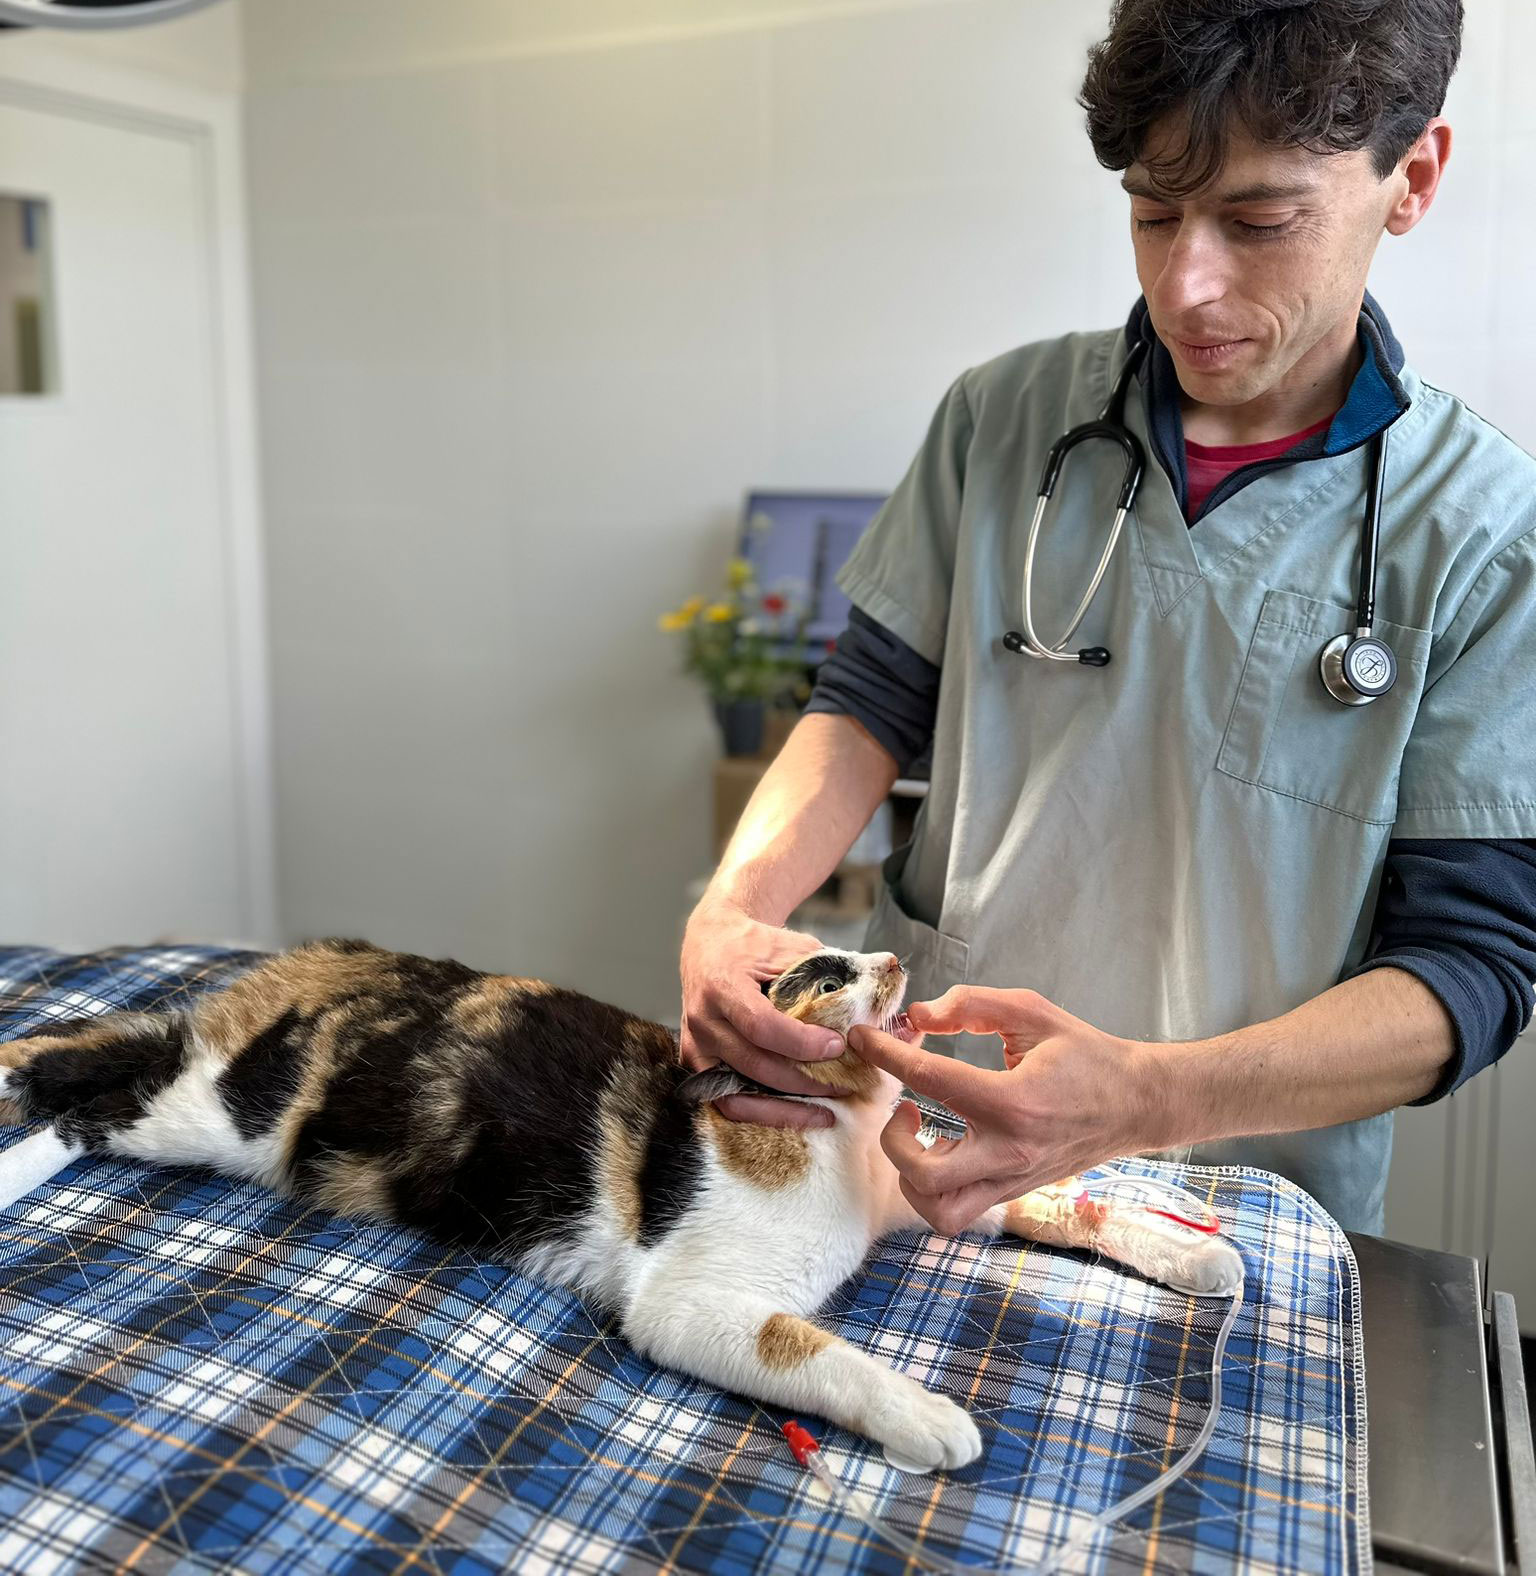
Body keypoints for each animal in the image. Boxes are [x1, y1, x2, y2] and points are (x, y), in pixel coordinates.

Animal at [0, 939, 1235, 1468]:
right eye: (826, 974)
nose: (891, 962)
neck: (845, 1135)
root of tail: (316, 961)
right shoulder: (690, 1302)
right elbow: (814, 1349)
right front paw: (927, 1415)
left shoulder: (931, 1186)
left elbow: (1052, 1194)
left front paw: (1187, 1251)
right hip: (217, 1111)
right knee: (80, 1095)